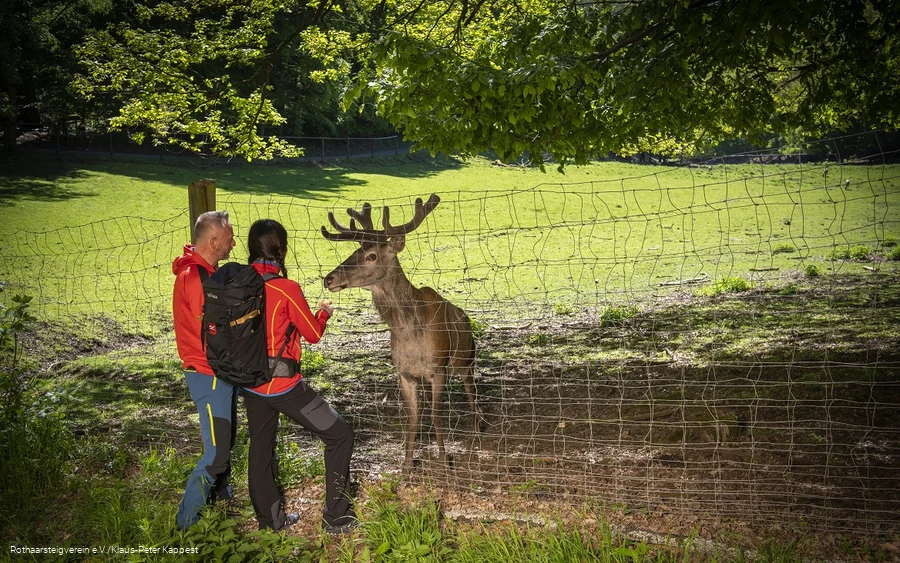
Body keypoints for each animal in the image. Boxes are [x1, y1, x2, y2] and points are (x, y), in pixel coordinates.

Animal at [321, 194, 478, 474]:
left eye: (371, 255)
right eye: (354, 251)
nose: (328, 279)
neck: (411, 335)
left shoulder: (438, 369)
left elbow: (436, 416)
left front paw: (444, 463)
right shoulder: (405, 374)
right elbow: (412, 418)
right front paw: (406, 466)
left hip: (466, 360)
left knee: (473, 395)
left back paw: (477, 435)